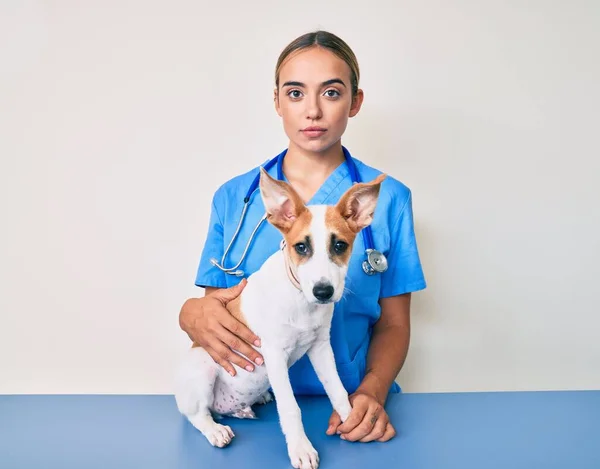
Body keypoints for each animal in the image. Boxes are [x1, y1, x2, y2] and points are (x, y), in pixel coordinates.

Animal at [176, 168, 386, 468]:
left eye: (339, 245)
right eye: (300, 247)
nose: (323, 292)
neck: (300, 300)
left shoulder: (321, 348)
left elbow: (337, 389)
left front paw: (351, 419)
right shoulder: (274, 353)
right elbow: (290, 407)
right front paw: (301, 448)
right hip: (202, 366)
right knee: (198, 415)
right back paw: (215, 430)